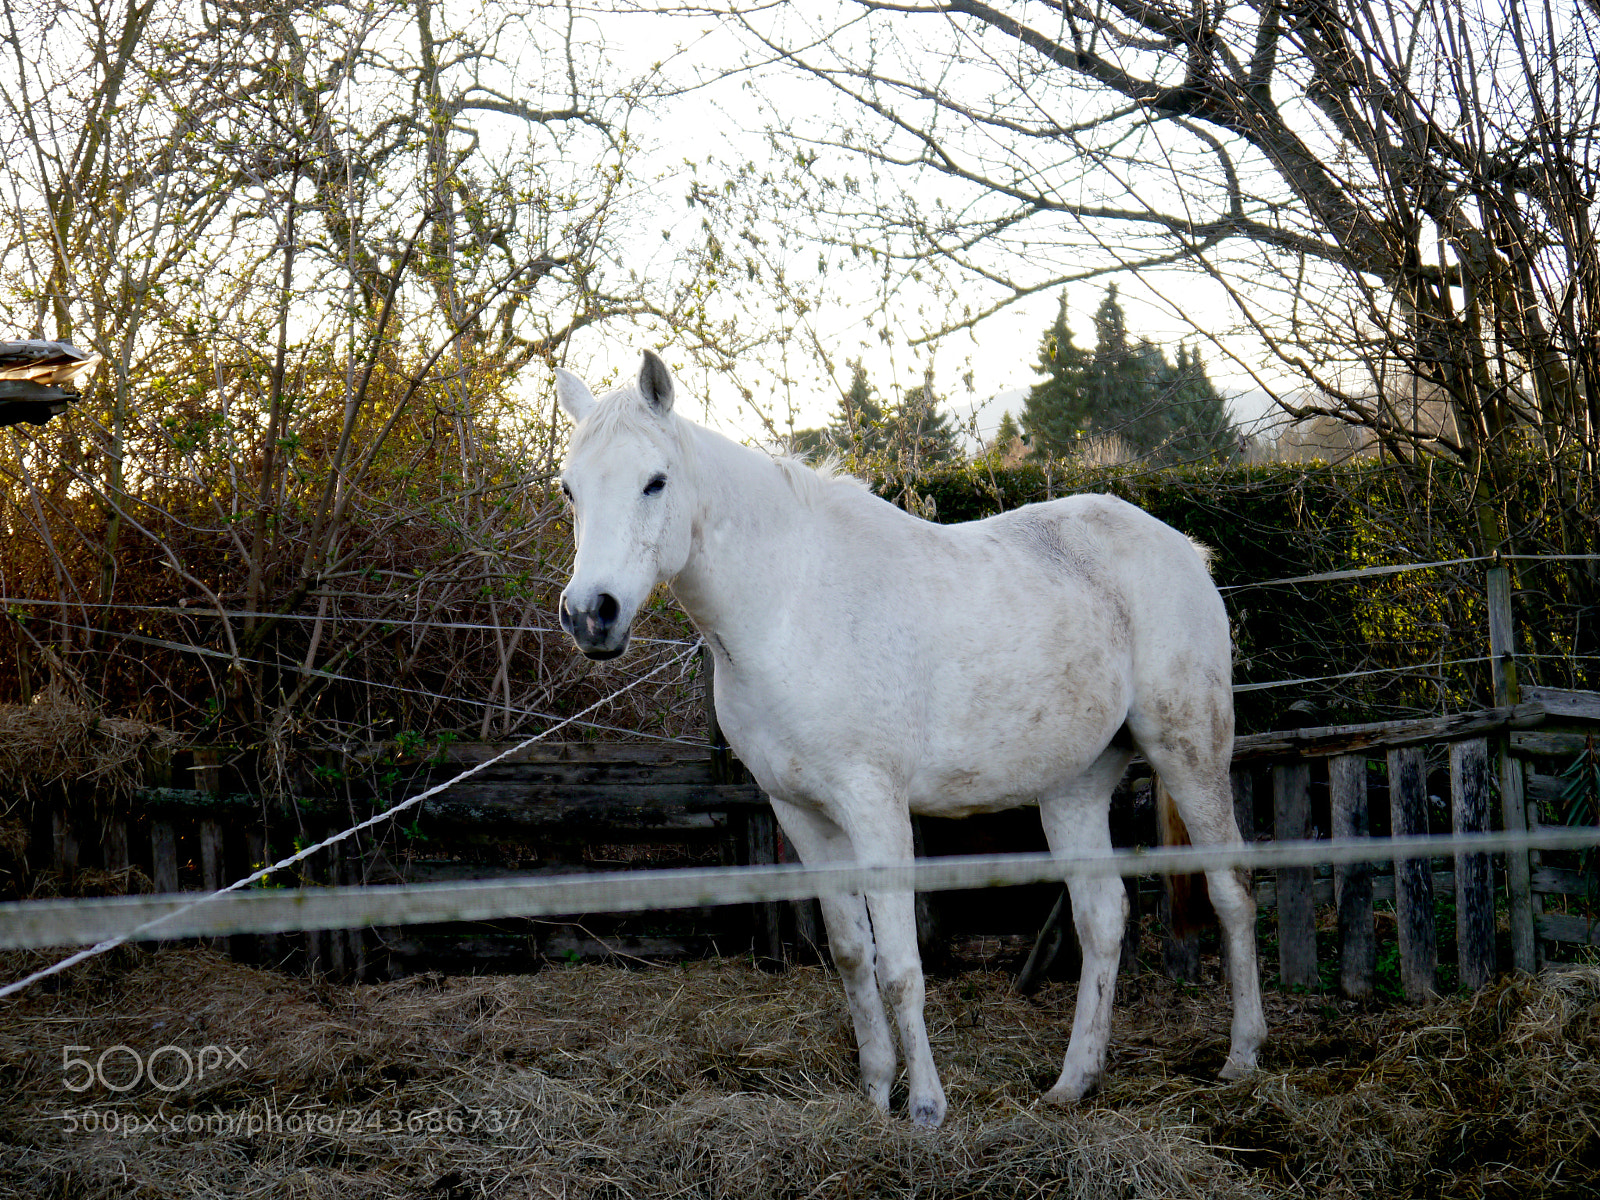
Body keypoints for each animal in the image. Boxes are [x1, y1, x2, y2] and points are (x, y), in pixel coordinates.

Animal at [552, 350, 1267, 1128]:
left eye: (655, 481)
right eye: (569, 487)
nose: (591, 615)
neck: (790, 604)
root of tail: (1183, 549)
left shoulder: (875, 809)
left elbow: (899, 965)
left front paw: (924, 1106)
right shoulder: (801, 814)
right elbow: (850, 955)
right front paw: (873, 1094)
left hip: (1190, 752)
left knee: (1231, 891)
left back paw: (1241, 1059)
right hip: (1073, 787)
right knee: (1101, 918)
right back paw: (1073, 1083)